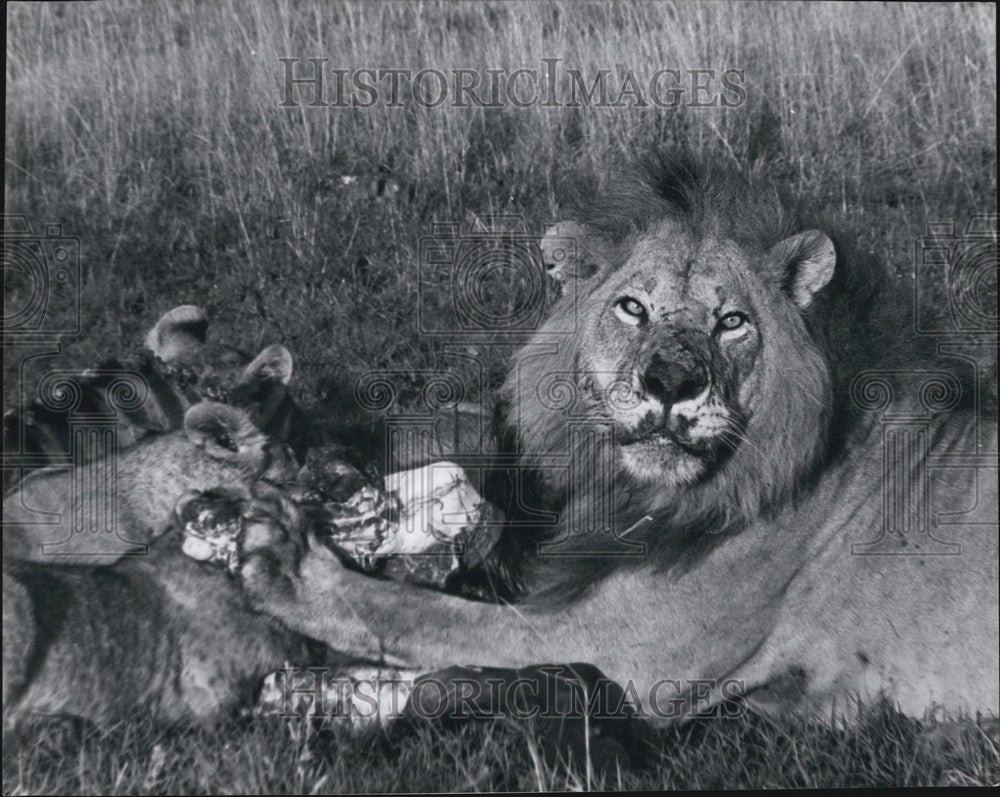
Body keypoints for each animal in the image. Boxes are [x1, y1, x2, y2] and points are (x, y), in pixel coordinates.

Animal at [233, 152, 998, 725]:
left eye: (731, 322)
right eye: (633, 308)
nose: (671, 382)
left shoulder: (619, 654)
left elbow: (431, 616)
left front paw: (291, 568)